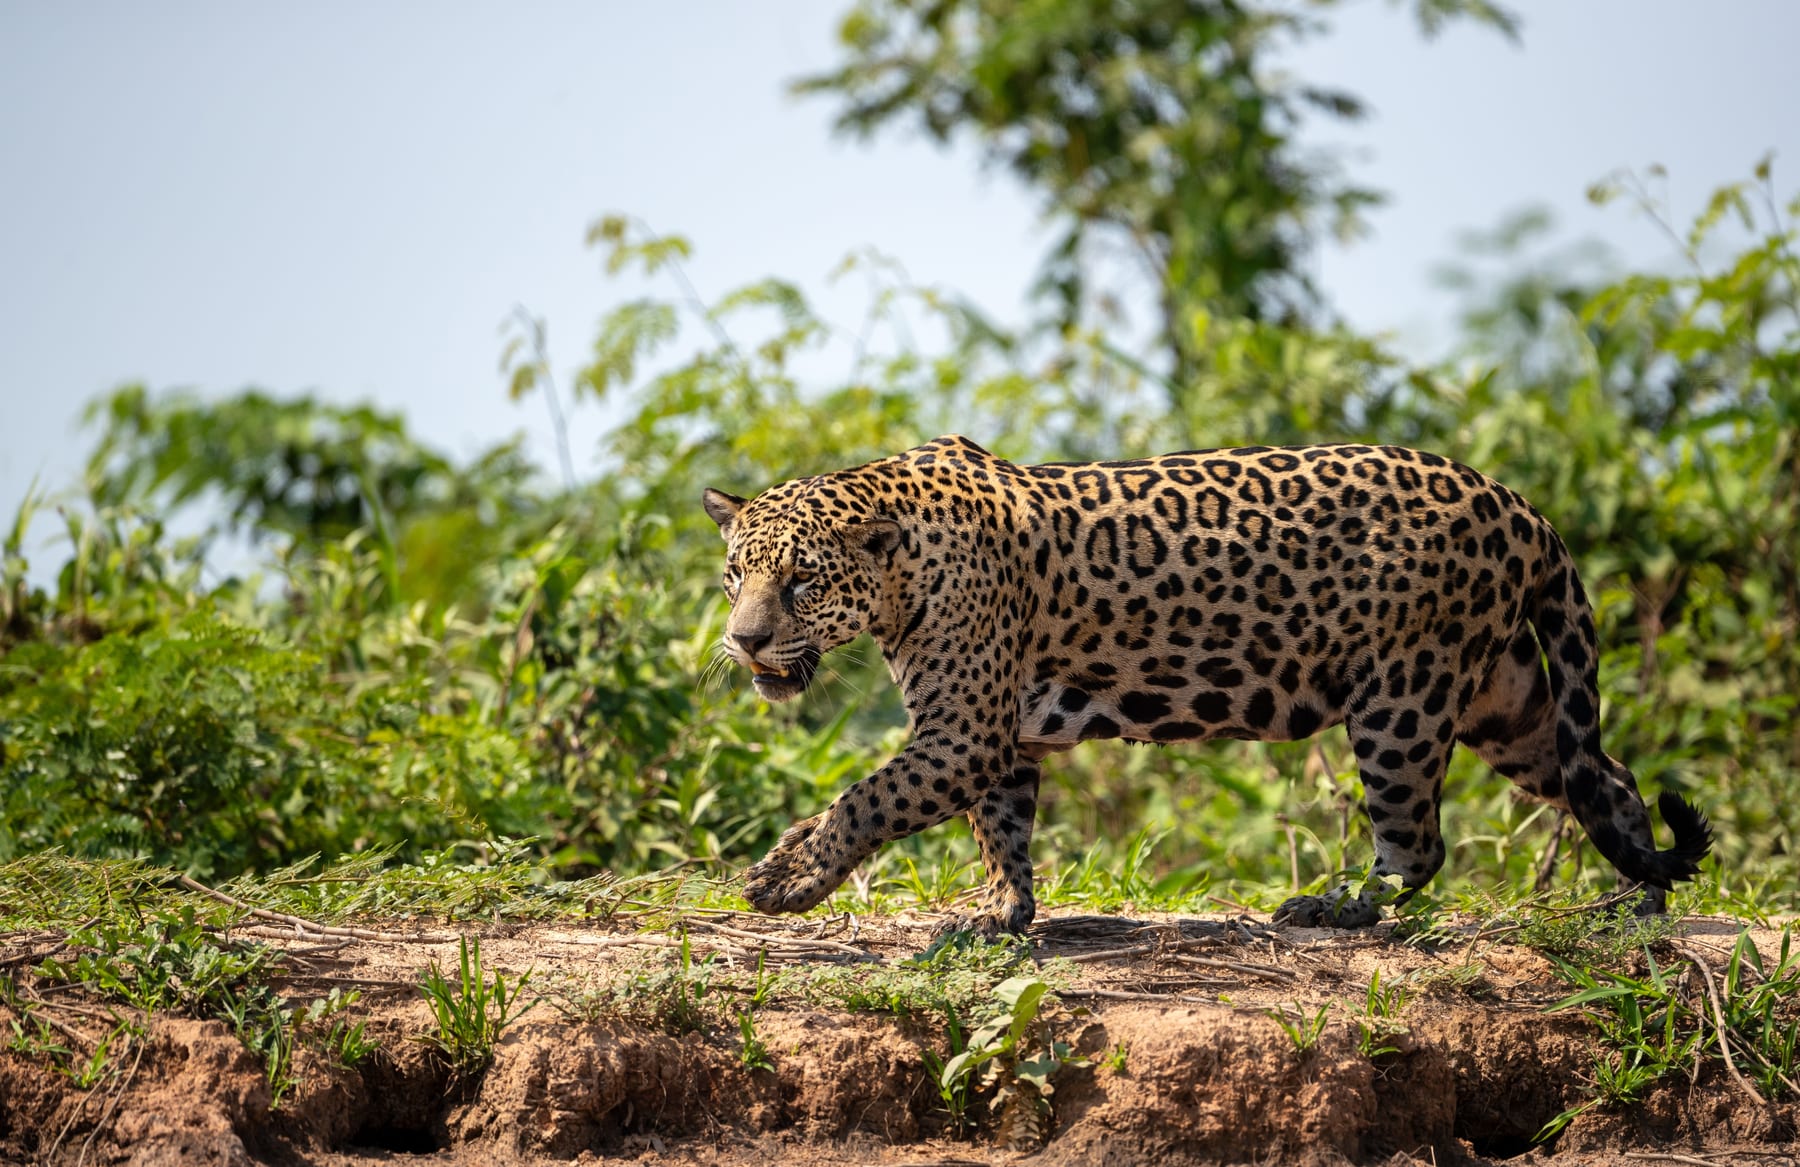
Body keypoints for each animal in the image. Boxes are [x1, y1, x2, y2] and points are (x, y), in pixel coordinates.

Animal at [702, 435, 1712, 933]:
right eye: (735, 574)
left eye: (802, 581)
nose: (745, 642)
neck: (904, 563)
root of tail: (1518, 503)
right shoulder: (996, 733)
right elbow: (1002, 830)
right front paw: (1003, 914)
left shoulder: (965, 730)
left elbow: (866, 799)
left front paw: (786, 878)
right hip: (1503, 695)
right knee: (1606, 775)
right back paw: (1641, 903)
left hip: (1404, 697)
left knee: (1419, 845)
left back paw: (1336, 909)